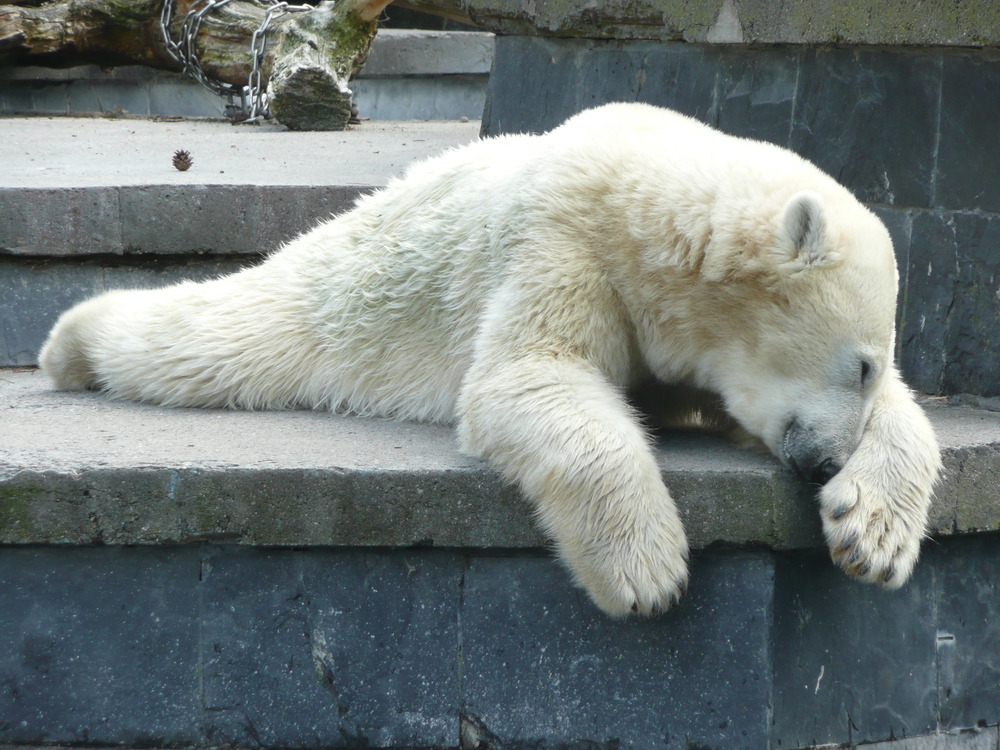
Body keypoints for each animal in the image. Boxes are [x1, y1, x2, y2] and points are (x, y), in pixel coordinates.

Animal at [41, 101, 944, 616]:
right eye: (859, 363)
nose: (822, 463)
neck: (648, 196)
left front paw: (872, 534)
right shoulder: (565, 239)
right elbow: (527, 372)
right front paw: (646, 570)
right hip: (338, 298)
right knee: (207, 338)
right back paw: (71, 344)